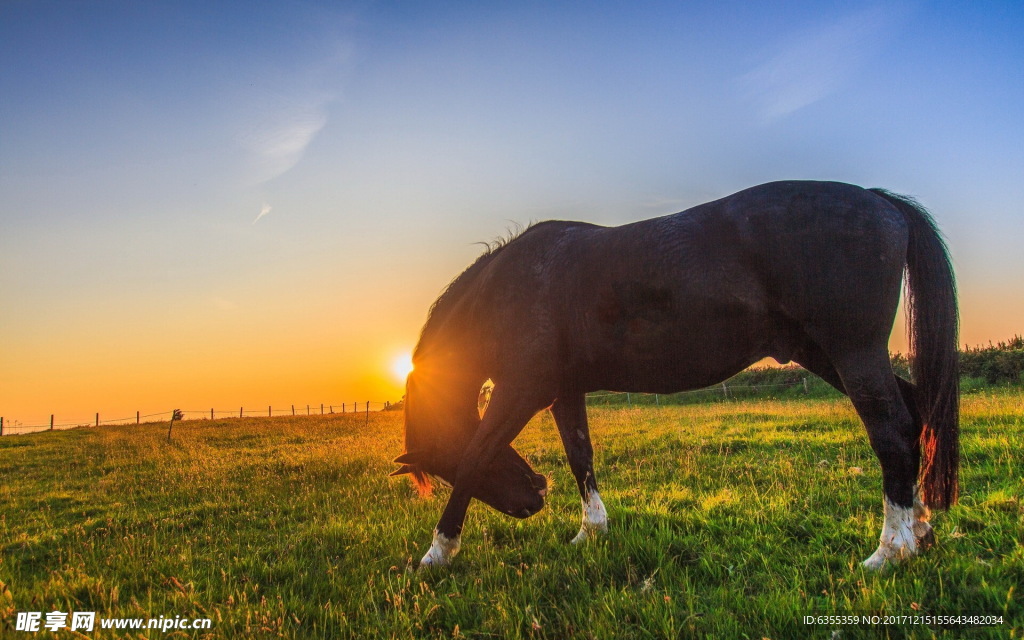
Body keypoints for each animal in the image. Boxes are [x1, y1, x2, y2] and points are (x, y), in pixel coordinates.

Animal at [390, 180, 959, 570]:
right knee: (913, 417)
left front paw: (437, 554)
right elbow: (581, 457)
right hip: (826, 355)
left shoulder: (520, 392)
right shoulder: (564, 393)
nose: (535, 495)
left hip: (853, 354)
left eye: (441, 465)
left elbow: (478, 454)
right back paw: (920, 529)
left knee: (891, 433)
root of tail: (879, 202)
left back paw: (889, 550)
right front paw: (591, 531)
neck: (512, 285)